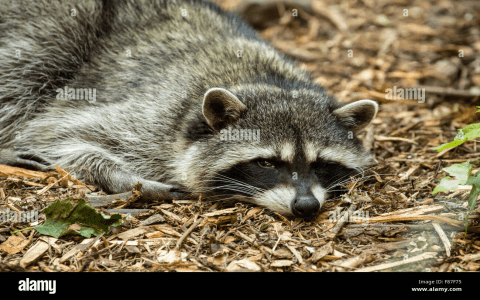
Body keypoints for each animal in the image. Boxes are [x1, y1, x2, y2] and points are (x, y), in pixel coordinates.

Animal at [0, 0, 378, 217]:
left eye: (322, 164)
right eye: (267, 163)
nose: (306, 206)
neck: (266, 80)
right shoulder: (149, 113)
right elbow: (51, 134)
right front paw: (123, 176)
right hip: (54, 26)